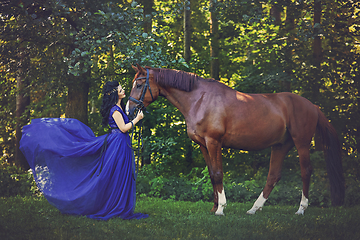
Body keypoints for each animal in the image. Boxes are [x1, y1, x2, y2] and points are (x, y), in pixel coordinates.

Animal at [127, 64, 346, 216]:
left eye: (139, 84)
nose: (129, 109)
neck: (200, 99)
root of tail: (312, 106)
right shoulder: (203, 145)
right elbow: (212, 174)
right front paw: (214, 207)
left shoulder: (214, 142)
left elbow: (218, 173)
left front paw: (221, 208)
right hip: (280, 146)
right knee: (273, 176)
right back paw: (254, 209)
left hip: (301, 144)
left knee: (305, 171)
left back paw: (301, 209)